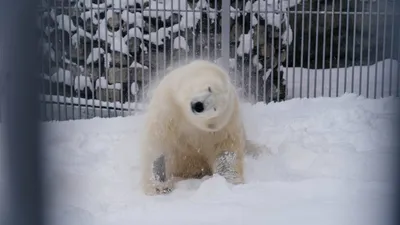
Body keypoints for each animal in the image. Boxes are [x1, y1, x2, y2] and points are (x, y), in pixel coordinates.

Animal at [139, 59, 248, 195]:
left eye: (215, 108)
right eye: (209, 88)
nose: (198, 105)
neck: (188, 119)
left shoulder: (225, 127)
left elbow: (226, 151)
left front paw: (228, 182)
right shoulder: (169, 105)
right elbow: (158, 142)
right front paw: (159, 186)